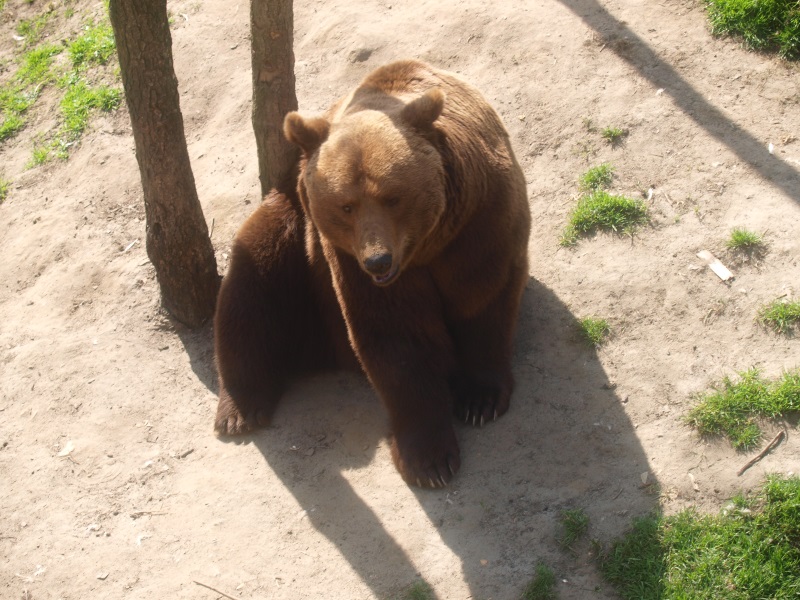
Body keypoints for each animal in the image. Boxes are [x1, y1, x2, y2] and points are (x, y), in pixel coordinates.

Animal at [214, 60, 531, 488]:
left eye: (393, 197)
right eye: (346, 206)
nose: (377, 260)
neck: (426, 246)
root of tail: (323, 352)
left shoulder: (478, 221)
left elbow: (482, 296)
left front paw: (480, 400)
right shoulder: (347, 261)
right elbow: (396, 338)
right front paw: (429, 460)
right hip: (295, 240)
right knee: (251, 286)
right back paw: (239, 409)